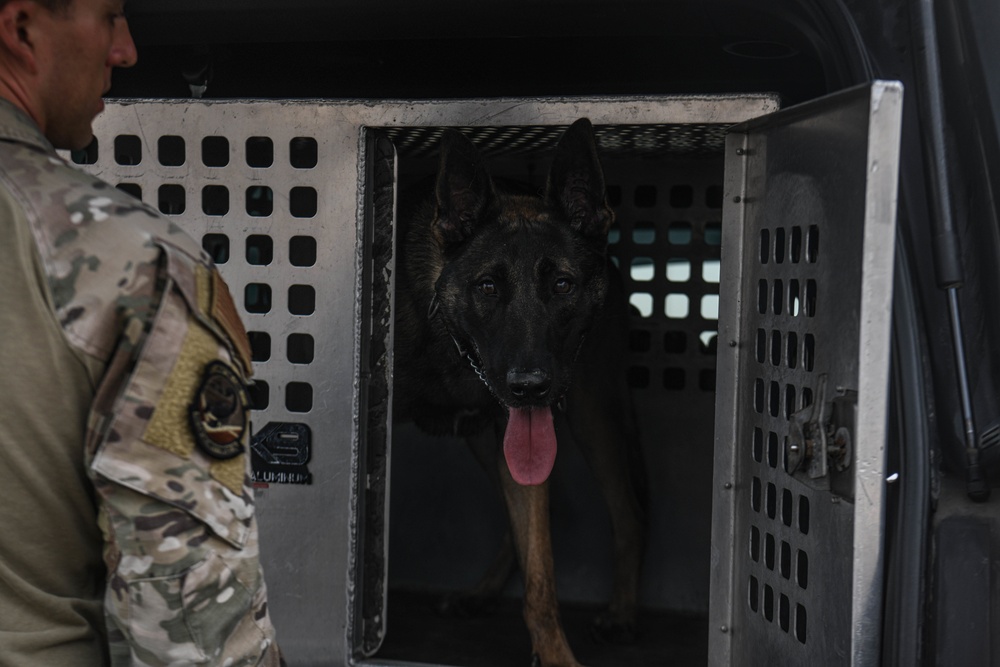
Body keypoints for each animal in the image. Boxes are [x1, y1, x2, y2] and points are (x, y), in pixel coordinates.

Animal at [392, 117, 648, 664]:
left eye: (563, 286)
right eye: (487, 288)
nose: (530, 388)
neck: (446, 340)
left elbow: (541, 581)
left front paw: (556, 656)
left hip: (591, 414)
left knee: (628, 514)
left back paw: (622, 614)